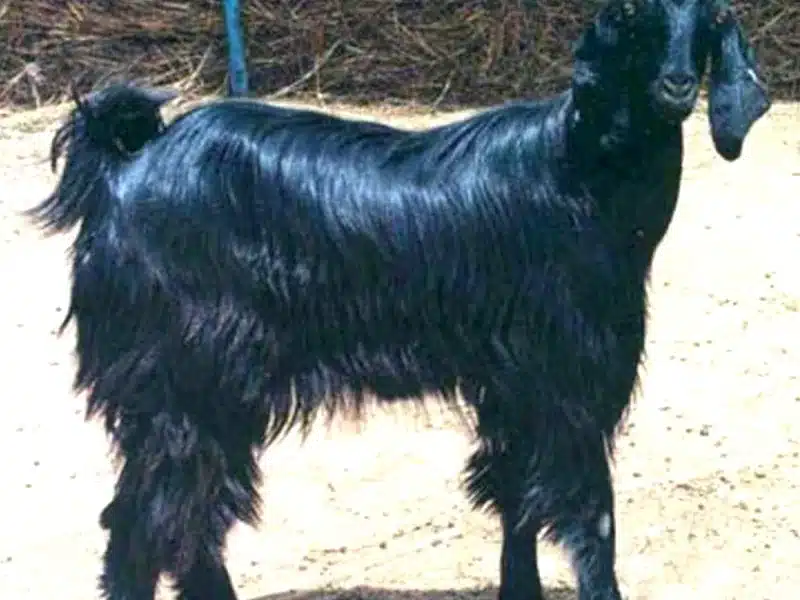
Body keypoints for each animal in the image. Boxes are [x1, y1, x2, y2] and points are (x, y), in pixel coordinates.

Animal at [29, 1, 770, 599]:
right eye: (636, 15)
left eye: (709, 18)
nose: (676, 86)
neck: (578, 170)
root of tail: (126, 164)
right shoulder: (569, 378)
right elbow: (589, 513)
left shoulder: (515, 386)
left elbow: (516, 497)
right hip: (183, 382)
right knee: (148, 521)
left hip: (210, 394)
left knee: (185, 518)